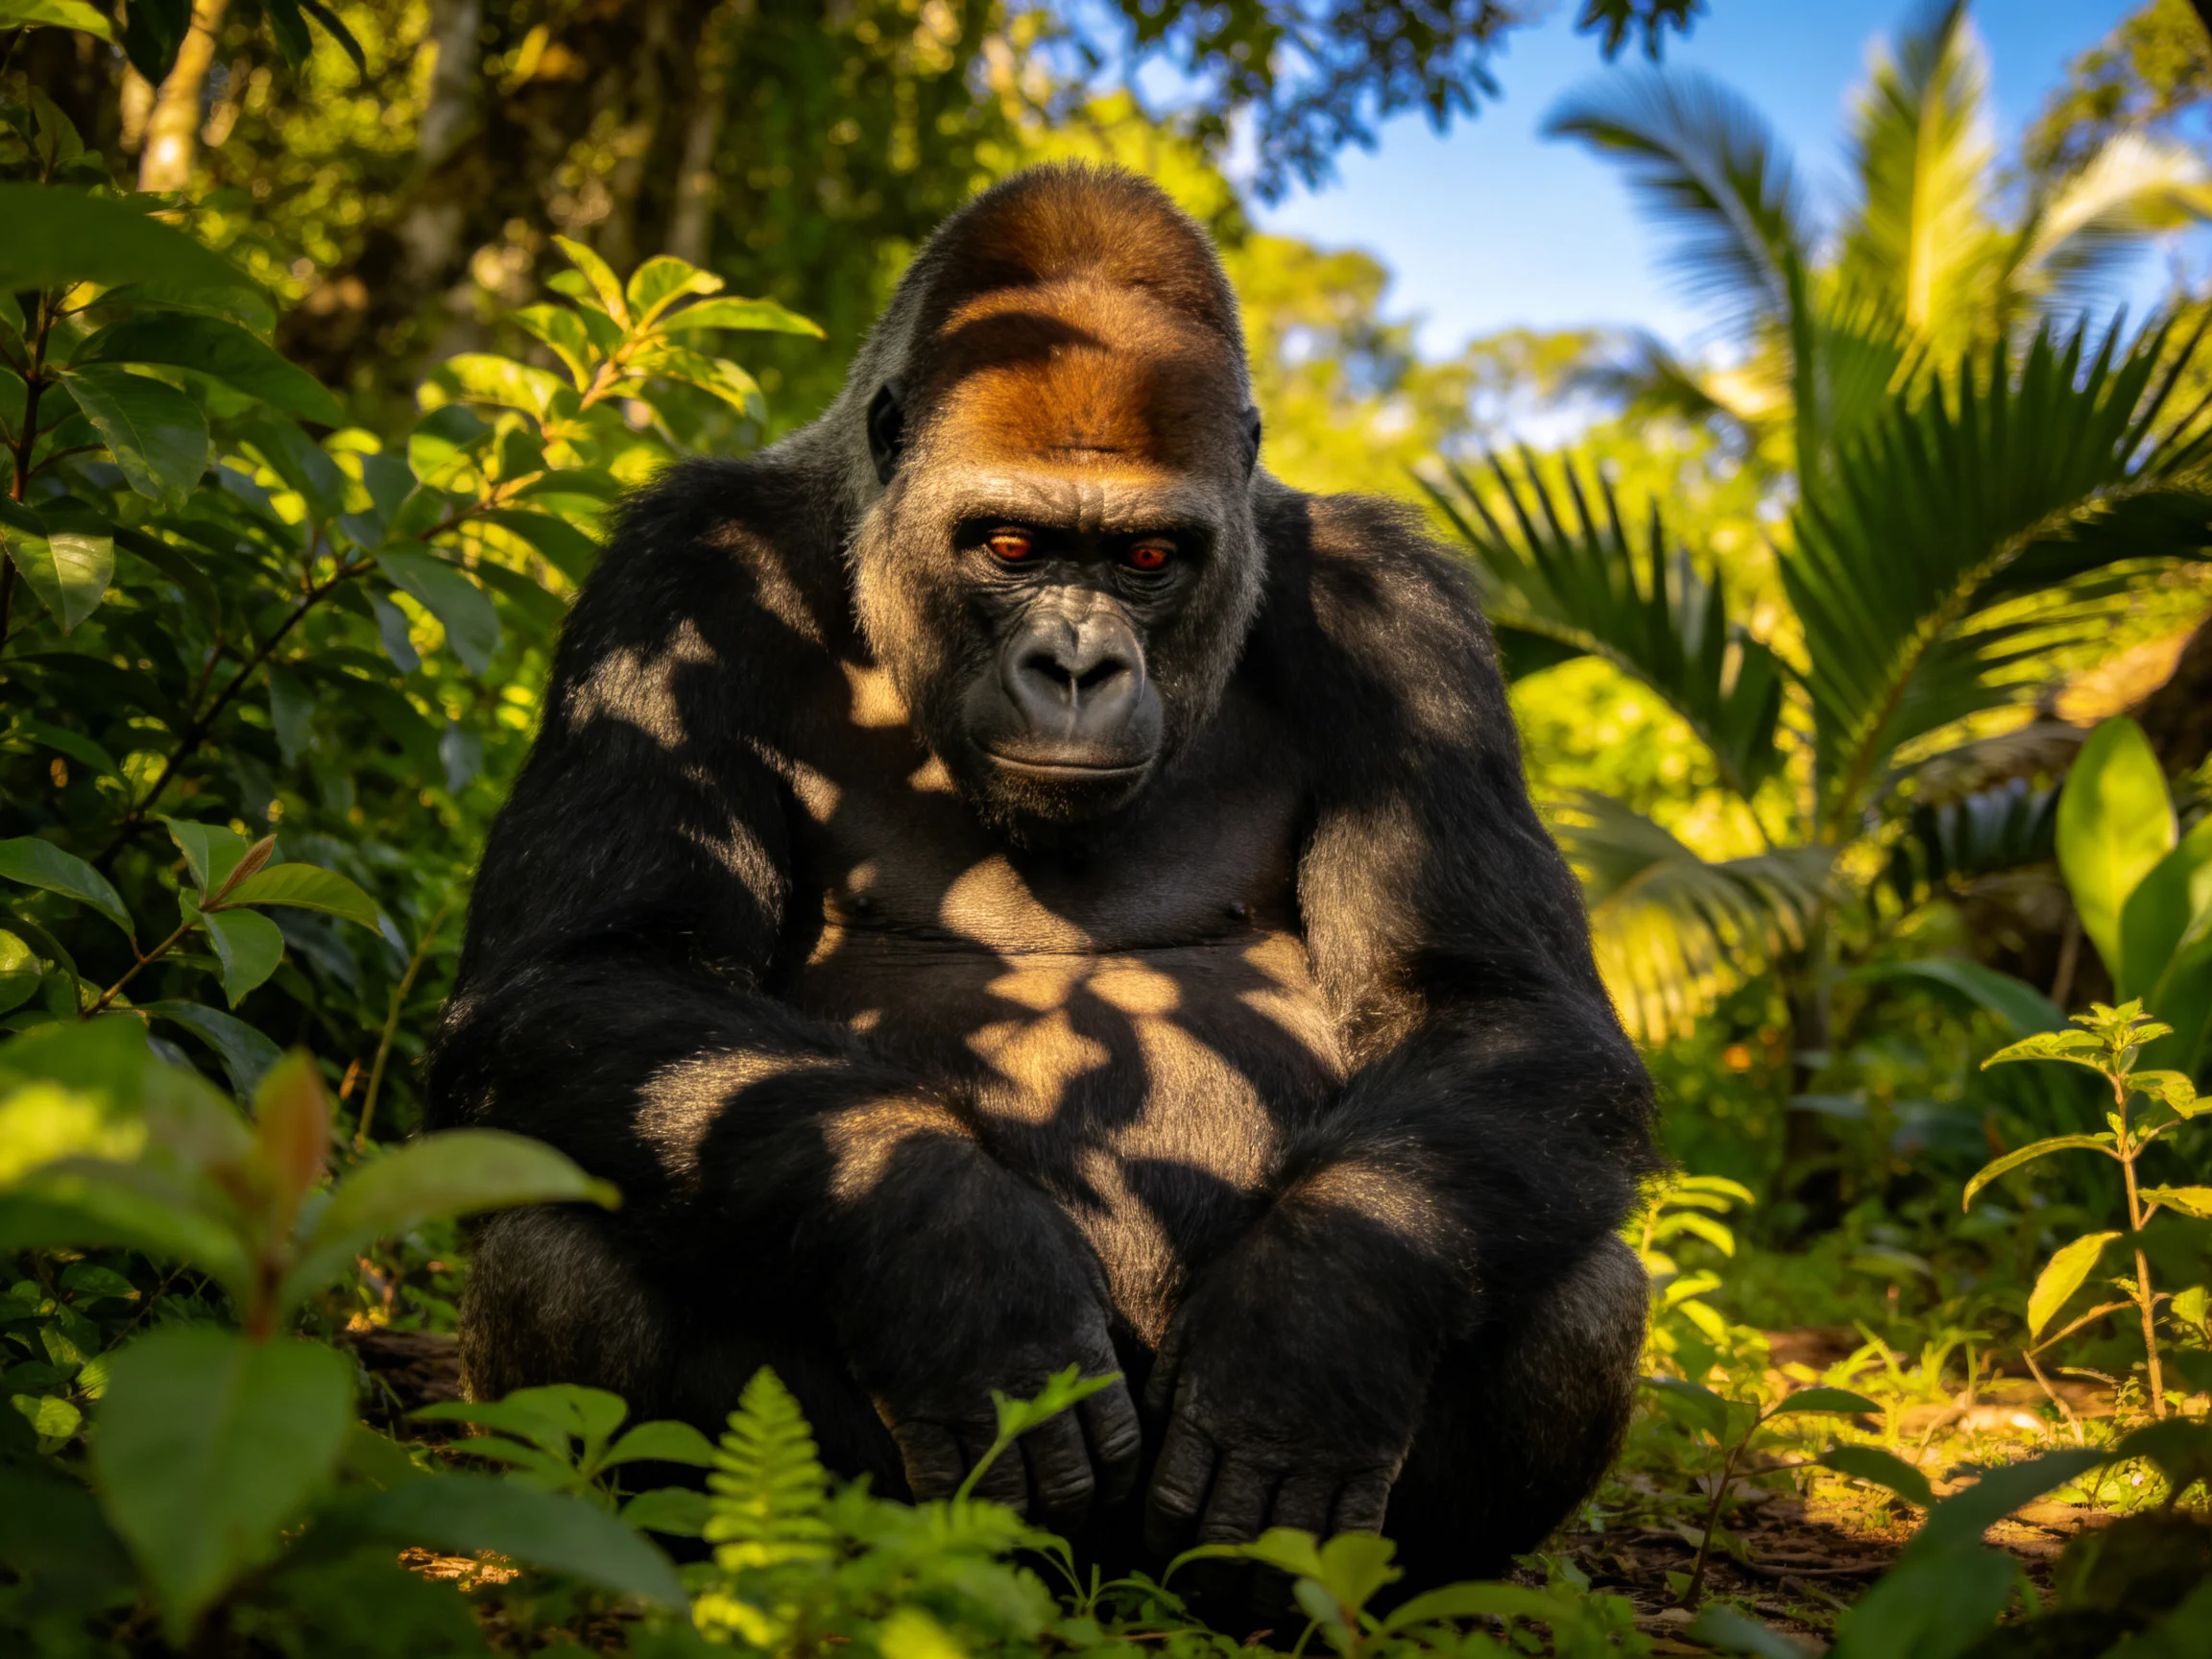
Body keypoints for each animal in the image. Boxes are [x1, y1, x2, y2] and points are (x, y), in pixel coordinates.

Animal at [426, 162, 1658, 1597]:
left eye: (1147, 560)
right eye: (1010, 546)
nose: (1078, 668)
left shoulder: (1402, 616)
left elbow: (1485, 1002)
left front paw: (1319, 1318)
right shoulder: (680, 572)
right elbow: (599, 967)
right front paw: (955, 1257)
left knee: (1586, 1293)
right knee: (555, 1242)